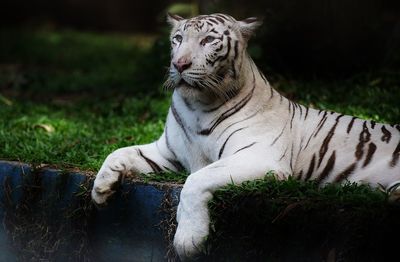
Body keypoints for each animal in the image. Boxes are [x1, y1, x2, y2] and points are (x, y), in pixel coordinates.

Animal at [92, 12, 400, 260]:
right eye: (178, 39)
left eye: (208, 40)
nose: (179, 64)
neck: (197, 106)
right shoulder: (167, 153)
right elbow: (119, 152)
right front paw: (101, 188)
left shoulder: (259, 157)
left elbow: (195, 180)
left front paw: (188, 240)